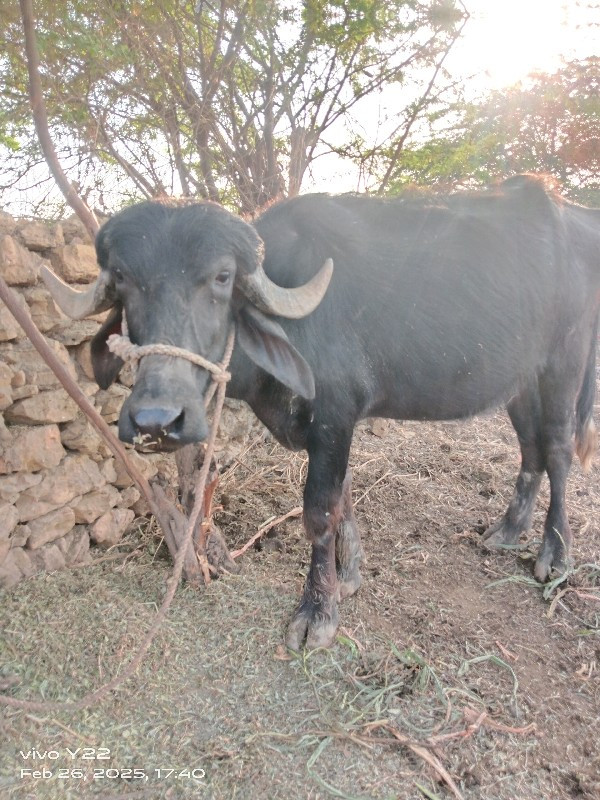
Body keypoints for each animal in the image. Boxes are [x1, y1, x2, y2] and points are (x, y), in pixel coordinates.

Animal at [43, 177, 600, 648]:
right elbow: (345, 496)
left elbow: (319, 511)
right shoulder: (333, 427)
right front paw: (349, 574)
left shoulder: (335, 414)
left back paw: (555, 554)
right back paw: (507, 531)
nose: (157, 421)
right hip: (520, 383)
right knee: (530, 450)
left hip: (564, 365)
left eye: (221, 277)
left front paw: (318, 611)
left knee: (557, 450)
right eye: (122, 279)